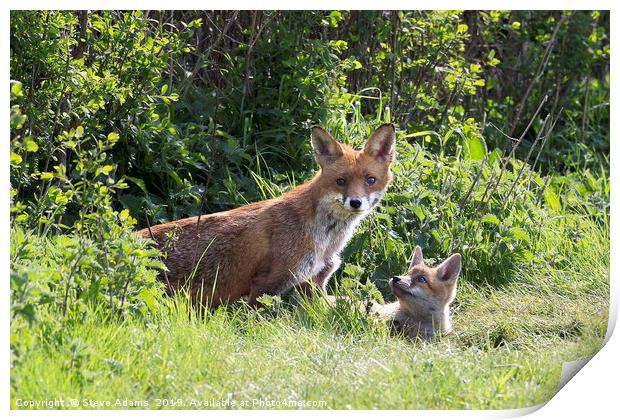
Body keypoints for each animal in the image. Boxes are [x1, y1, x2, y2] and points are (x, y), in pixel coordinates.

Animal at [139, 123, 394, 306]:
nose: (356, 202)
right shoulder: (266, 284)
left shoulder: (314, 282)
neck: (325, 241)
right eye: (340, 181)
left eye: (370, 180)